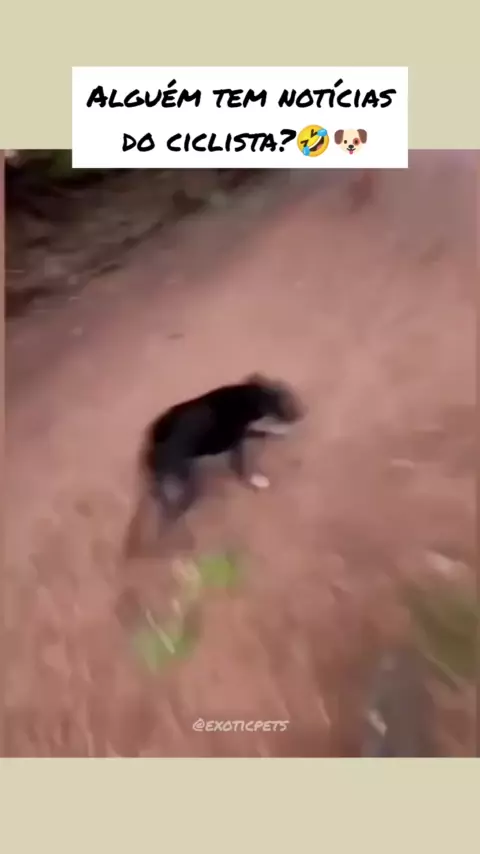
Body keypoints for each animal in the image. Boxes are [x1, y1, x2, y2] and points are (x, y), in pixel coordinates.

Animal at [140, 373, 304, 521]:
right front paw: (257, 479)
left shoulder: (243, 433)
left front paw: (281, 431)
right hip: (185, 474)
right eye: (286, 402)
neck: (249, 396)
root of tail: (152, 442)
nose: (302, 413)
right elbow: (242, 467)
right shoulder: (237, 445)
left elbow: (263, 429)